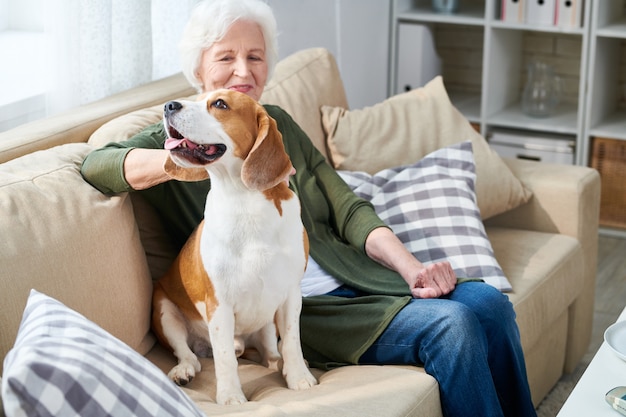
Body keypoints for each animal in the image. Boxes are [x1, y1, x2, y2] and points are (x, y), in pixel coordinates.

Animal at [152, 89, 316, 404]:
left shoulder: (291, 294)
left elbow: (291, 340)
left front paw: (298, 376)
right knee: (188, 353)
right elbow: (225, 357)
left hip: (265, 324)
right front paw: (230, 396)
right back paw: (185, 369)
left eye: (219, 104)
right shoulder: (219, 304)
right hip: (164, 311)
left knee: (270, 351)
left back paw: (276, 362)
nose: (168, 106)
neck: (243, 200)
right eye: (197, 97)